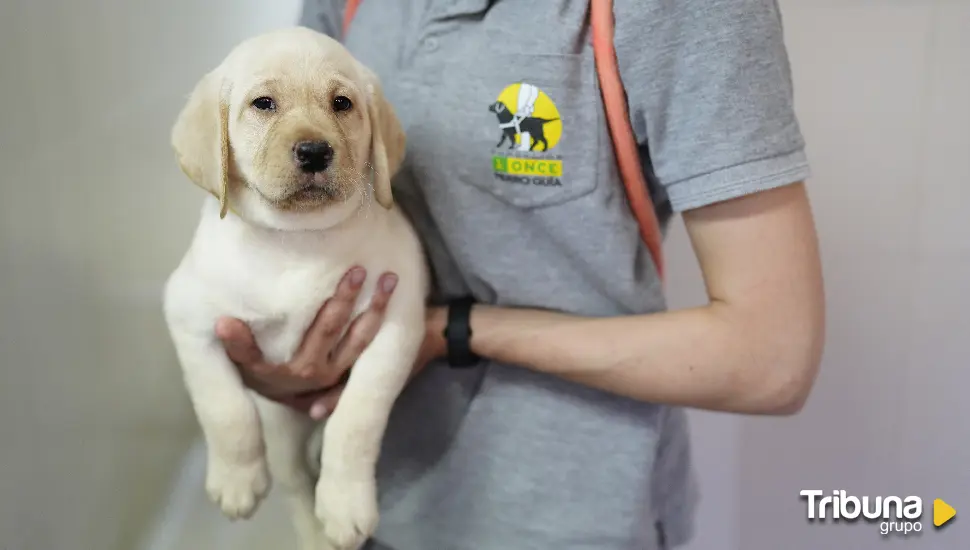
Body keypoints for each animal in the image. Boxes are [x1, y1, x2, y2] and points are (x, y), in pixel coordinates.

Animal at [163, 27, 428, 550]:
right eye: (263, 103)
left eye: (342, 103)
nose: (314, 151)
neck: (296, 241)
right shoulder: (188, 316)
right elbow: (224, 406)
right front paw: (237, 480)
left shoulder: (396, 320)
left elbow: (357, 417)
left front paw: (345, 503)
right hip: (282, 428)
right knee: (294, 481)